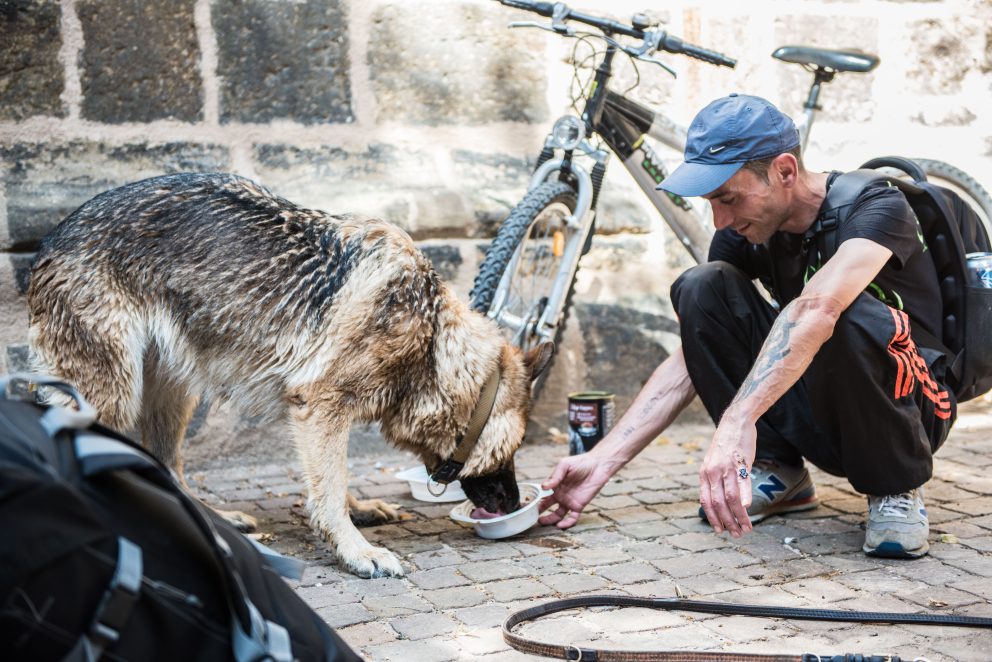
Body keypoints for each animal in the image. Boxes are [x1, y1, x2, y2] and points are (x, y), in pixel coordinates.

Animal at [27, 172, 556, 580]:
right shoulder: (320, 407)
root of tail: (49, 240)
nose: (515, 503)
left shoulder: (324, 418)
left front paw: (359, 512)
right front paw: (356, 551)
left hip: (173, 389)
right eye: (515, 449)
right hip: (112, 395)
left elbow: (331, 482)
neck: (429, 340)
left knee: (167, 464)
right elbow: (330, 489)